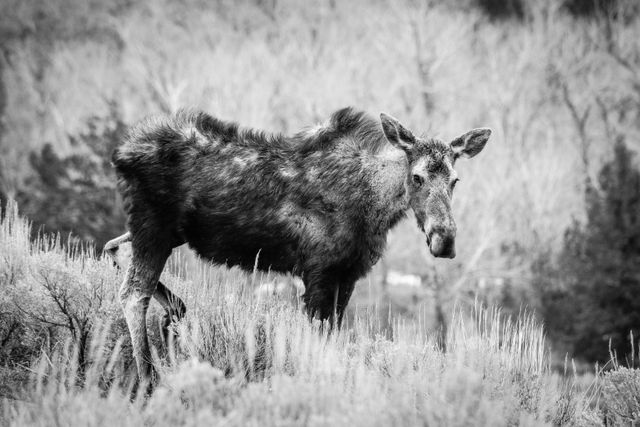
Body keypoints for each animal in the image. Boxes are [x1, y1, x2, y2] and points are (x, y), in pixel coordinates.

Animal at [106, 107, 490, 382]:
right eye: (417, 177)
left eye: (455, 180)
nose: (444, 240)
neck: (376, 205)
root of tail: (121, 154)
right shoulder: (318, 270)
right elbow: (318, 336)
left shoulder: (348, 274)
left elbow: (333, 332)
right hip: (153, 228)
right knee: (133, 292)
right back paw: (148, 377)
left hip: (164, 233)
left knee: (114, 248)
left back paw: (173, 322)